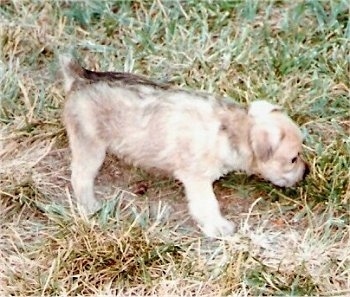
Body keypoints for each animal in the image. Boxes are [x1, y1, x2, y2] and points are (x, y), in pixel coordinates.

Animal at [60, 55, 308, 236]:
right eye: (293, 159)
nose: (306, 172)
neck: (231, 129)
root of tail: (81, 76)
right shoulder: (197, 179)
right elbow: (207, 205)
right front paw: (218, 227)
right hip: (90, 146)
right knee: (80, 177)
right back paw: (90, 207)